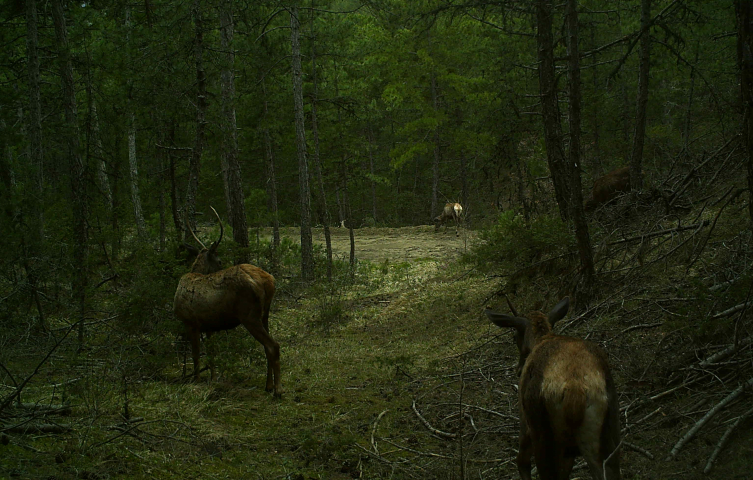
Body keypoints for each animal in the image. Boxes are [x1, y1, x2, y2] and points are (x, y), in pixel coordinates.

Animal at [173, 206, 282, 398]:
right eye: (219, 260)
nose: (222, 264)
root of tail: (268, 281)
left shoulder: (191, 322)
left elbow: (195, 354)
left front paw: (197, 380)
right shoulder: (208, 326)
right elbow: (211, 354)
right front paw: (213, 378)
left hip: (249, 315)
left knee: (273, 346)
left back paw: (278, 390)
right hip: (265, 314)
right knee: (267, 347)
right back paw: (268, 385)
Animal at [484, 296, 620, 480]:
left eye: (514, 337)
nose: (518, 370)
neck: (541, 338)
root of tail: (575, 391)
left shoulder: (525, 417)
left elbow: (522, 460)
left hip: (542, 429)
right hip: (607, 430)